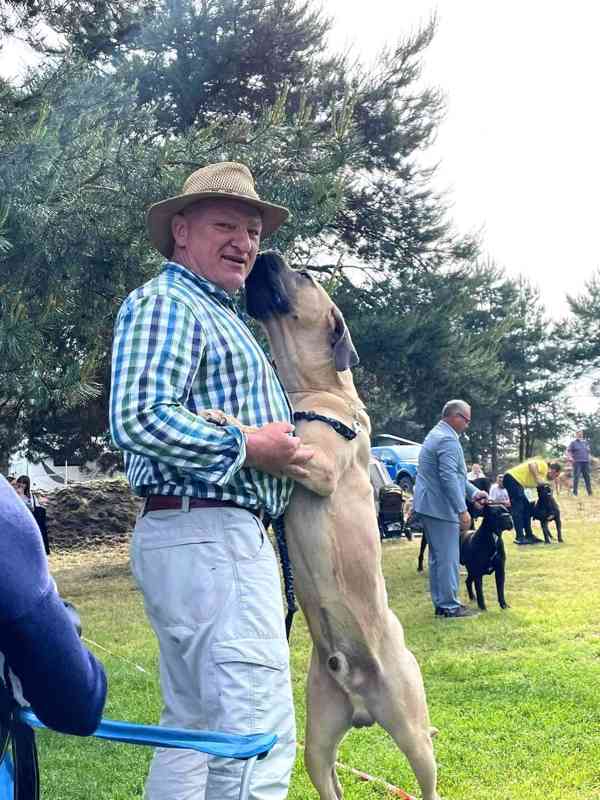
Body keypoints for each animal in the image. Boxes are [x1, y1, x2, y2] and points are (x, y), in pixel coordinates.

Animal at [241, 253, 438, 800]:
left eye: (304, 276)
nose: (266, 255)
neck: (313, 390)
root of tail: (360, 701)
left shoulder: (319, 465)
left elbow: (262, 437)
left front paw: (224, 419)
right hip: (317, 741)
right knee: (327, 776)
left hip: (413, 732)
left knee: (427, 778)